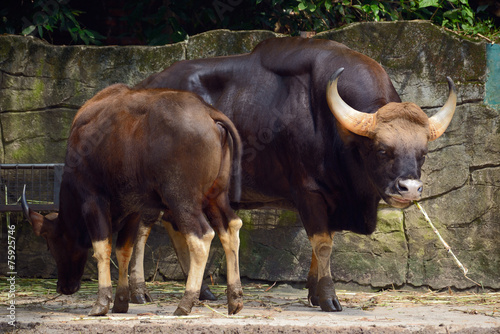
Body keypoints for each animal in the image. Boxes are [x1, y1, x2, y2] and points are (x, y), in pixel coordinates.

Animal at [21, 85, 244, 318]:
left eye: (51, 243)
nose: (63, 287)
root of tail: (209, 113)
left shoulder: (92, 200)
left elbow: (102, 248)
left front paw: (102, 303)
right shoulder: (135, 209)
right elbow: (124, 250)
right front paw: (121, 301)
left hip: (182, 199)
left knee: (202, 236)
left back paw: (185, 302)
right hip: (215, 196)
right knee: (230, 227)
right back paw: (235, 299)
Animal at [132, 37, 458, 314]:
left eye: (423, 153)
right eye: (381, 150)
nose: (410, 188)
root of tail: (146, 85)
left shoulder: (332, 195)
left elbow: (323, 244)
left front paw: (314, 292)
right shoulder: (308, 191)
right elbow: (323, 243)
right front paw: (328, 297)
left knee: (174, 224)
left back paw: (200, 291)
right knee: (144, 226)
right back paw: (139, 291)